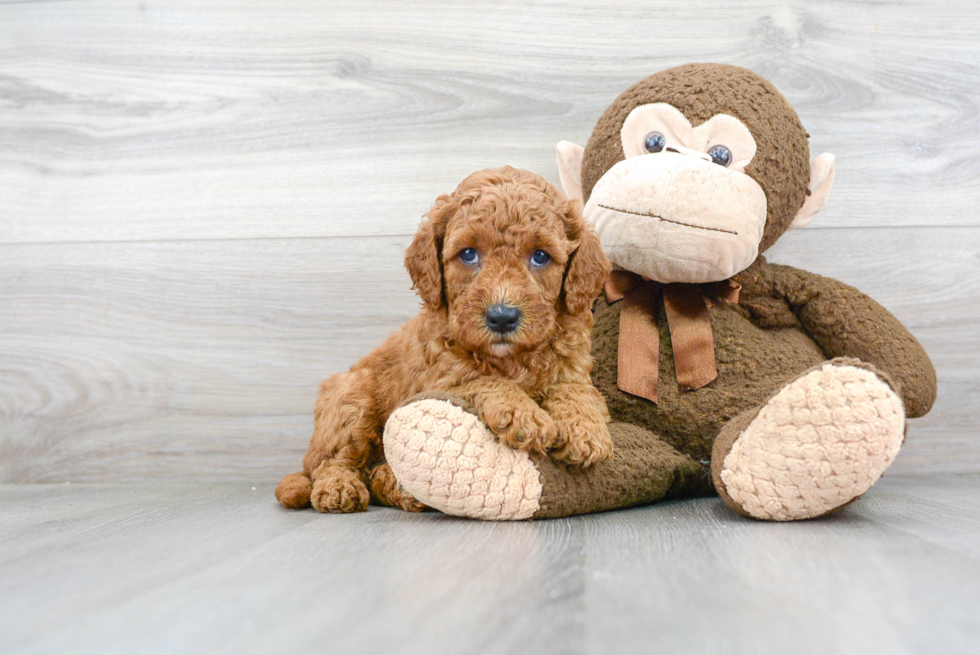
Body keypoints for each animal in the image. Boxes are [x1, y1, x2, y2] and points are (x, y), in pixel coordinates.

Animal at [276, 167, 612, 516]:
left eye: (541, 256)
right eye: (468, 254)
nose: (502, 317)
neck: (511, 359)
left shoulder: (573, 365)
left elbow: (577, 390)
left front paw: (585, 431)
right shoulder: (441, 376)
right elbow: (481, 379)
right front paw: (523, 414)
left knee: (372, 473)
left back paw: (397, 487)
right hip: (351, 401)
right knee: (332, 461)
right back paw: (340, 488)